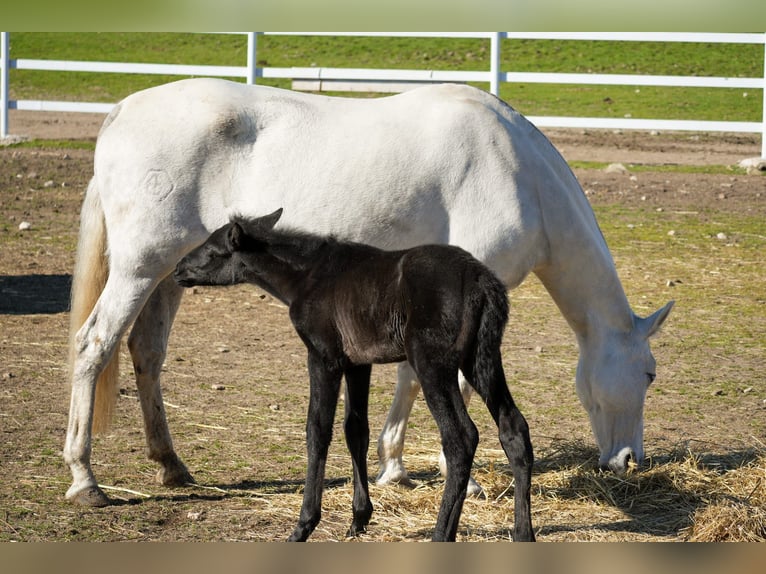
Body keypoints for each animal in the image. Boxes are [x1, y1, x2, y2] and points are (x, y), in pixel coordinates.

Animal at [64, 78, 673, 508]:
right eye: (648, 375)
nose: (629, 460)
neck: (516, 170)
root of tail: (121, 112)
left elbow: (409, 378)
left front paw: (393, 465)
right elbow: (449, 385)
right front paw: (463, 481)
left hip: (170, 274)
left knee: (146, 354)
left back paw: (171, 465)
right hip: (139, 270)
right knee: (93, 347)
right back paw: (84, 479)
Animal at [173, 208, 535, 542]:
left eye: (211, 250)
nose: (178, 270)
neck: (307, 277)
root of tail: (481, 281)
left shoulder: (324, 357)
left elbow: (318, 430)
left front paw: (304, 525)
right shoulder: (360, 363)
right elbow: (355, 429)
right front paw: (359, 518)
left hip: (433, 362)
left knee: (461, 437)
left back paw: (441, 534)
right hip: (482, 358)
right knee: (513, 428)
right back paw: (523, 533)